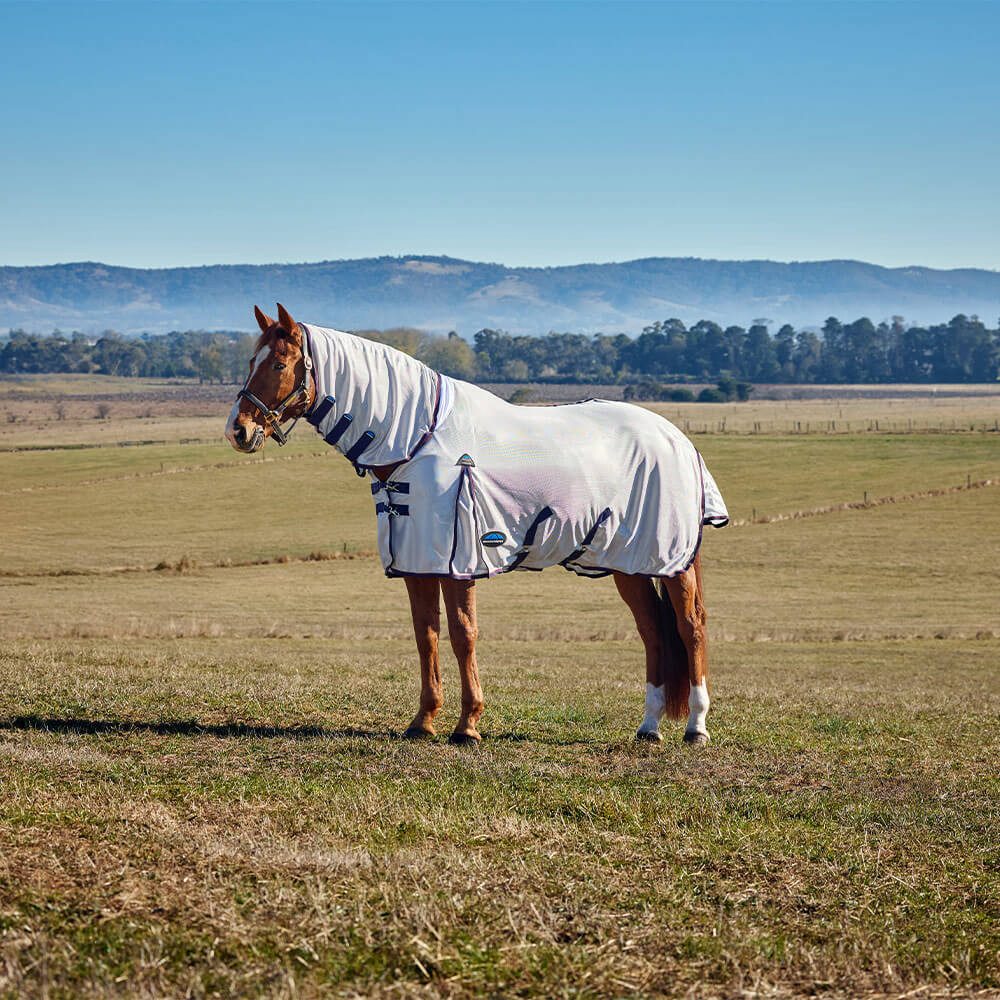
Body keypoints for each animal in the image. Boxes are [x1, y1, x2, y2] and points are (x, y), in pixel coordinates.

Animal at [226, 303, 729, 746]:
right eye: (251, 360)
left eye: (280, 363)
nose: (238, 430)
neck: (417, 437)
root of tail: (678, 439)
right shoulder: (418, 560)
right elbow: (426, 635)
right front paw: (423, 721)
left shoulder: (460, 561)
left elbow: (463, 636)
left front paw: (468, 725)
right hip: (628, 563)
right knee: (653, 633)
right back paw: (648, 728)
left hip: (673, 560)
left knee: (690, 627)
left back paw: (696, 728)